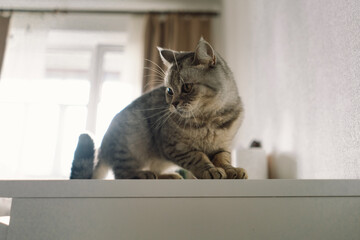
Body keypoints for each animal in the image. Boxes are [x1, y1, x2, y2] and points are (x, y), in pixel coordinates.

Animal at [71, 38, 249, 179]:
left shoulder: (222, 146)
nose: (174, 104)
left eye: (187, 87)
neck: (210, 119)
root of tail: (103, 148)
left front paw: (232, 170)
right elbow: (197, 157)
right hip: (132, 141)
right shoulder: (175, 147)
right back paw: (145, 174)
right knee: (123, 173)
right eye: (169, 90)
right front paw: (209, 170)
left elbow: (223, 159)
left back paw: (169, 176)